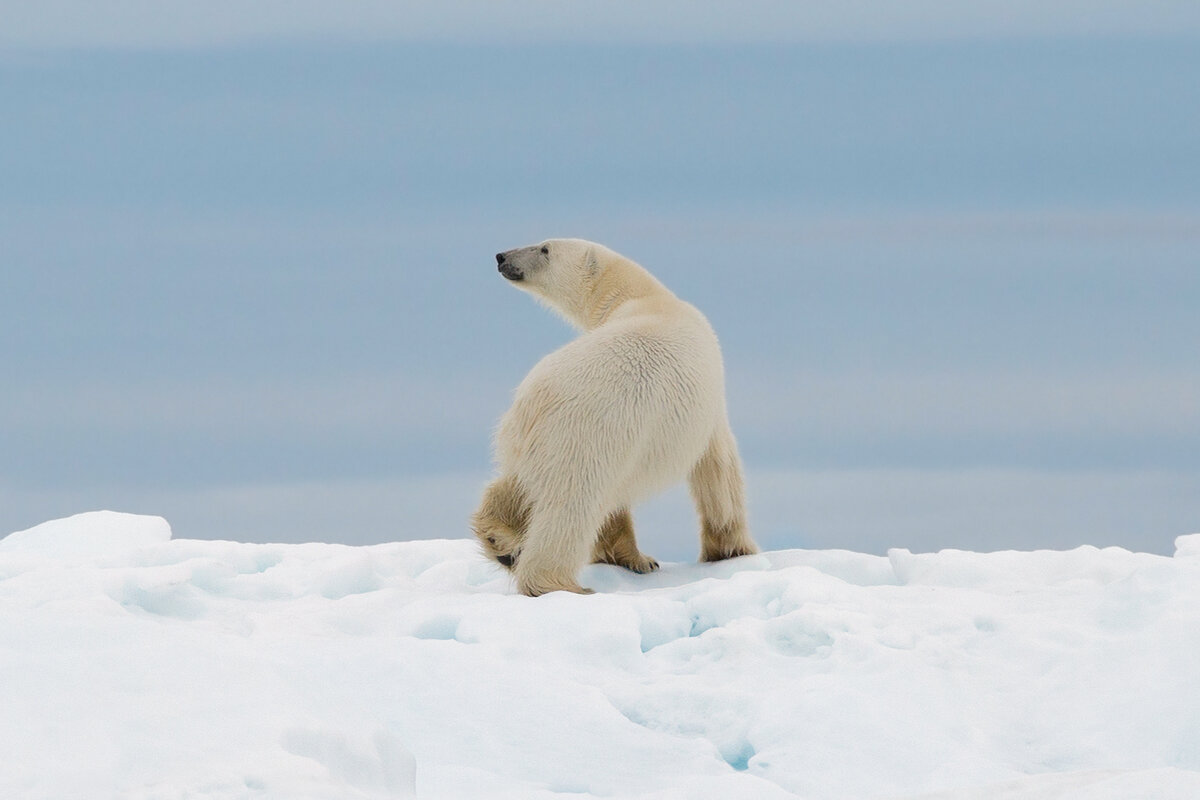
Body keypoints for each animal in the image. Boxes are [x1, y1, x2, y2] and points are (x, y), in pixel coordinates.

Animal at [472, 237, 753, 594]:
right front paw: (733, 551)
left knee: (515, 485)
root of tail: (536, 398)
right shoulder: (699, 409)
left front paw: (633, 559)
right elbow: (718, 467)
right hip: (584, 432)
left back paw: (499, 540)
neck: (643, 297)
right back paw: (558, 582)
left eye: (544, 248)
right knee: (570, 507)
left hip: (529, 436)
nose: (501, 256)